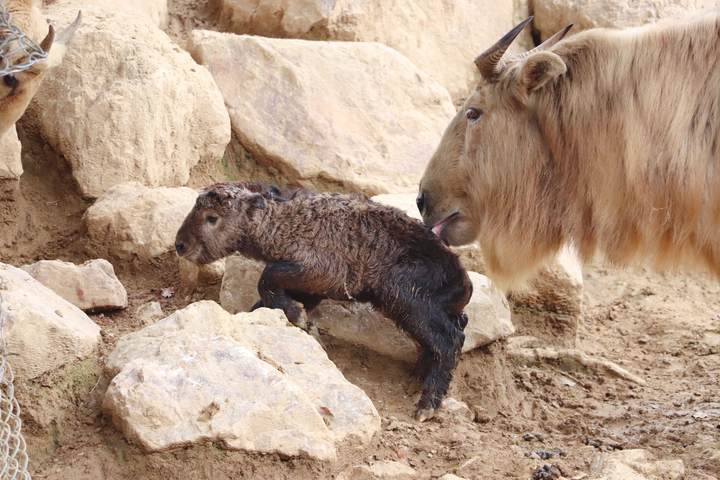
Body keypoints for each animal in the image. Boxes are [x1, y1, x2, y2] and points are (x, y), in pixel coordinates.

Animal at [176, 183, 472, 420]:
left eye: (212, 218)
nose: (180, 245)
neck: (283, 222)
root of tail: (462, 282)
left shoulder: (321, 270)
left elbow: (268, 276)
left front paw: (298, 317)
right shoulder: (318, 286)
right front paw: (291, 317)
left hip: (406, 296)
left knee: (449, 341)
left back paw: (427, 403)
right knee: (452, 330)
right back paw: (419, 376)